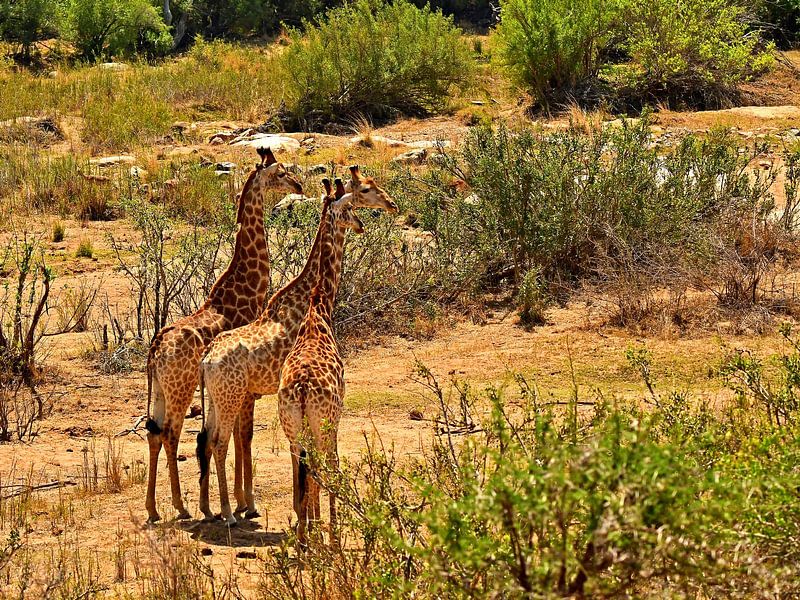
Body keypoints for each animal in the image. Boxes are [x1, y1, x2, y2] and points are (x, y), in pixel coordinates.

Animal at [144, 147, 303, 523]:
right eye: (280, 172)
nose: (300, 185)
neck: (244, 288)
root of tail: (155, 350)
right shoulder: (247, 391)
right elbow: (241, 438)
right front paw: (245, 504)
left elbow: (232, 439)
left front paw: (231, 504)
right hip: (181, 388)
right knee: (171, 434)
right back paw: (181, 507)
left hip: (160, 389)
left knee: (154, 434)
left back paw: (154, 509)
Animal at [197, 167, 397, 525]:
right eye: (364, 189)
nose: (390, 204)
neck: (311, 300)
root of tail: (206, 360)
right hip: (232, 397)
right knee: (219, 442)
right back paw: (228, 514)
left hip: (218, 400)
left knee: (205, 439)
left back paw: (208, 509)